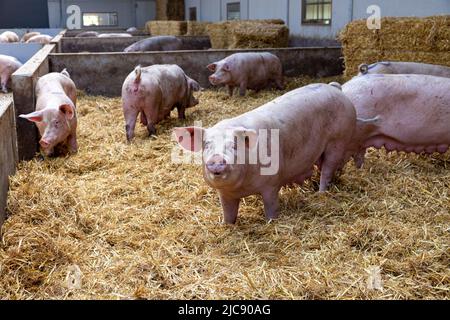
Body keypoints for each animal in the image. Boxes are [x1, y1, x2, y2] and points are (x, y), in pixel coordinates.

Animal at [174, 84, 356, 224]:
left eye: (234, 145)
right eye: (206, 145)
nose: (217, 159)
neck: (242, 188)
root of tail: (335, 88)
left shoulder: (271, 184)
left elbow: (270, 206)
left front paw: (270, 222)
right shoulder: (225, 195)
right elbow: (228, 213)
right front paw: (226, 225)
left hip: (338, 141)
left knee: (327, 170)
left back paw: (321, 193)